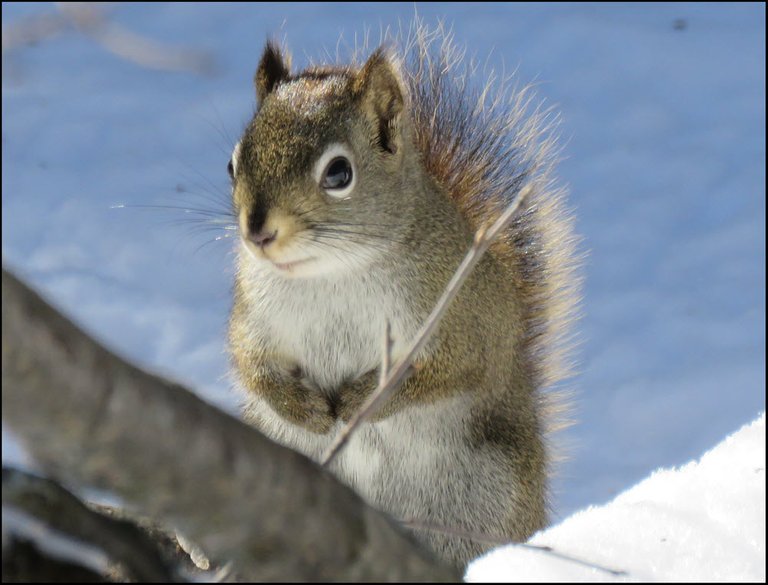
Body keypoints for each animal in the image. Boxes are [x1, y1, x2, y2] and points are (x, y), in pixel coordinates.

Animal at [225, 25, 580, 568]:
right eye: (233, 163)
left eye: (338, 173)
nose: (257, 232)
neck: (331, 273)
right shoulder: (254, 318)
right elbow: (250, 364)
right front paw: (305, 409)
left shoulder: (463, 324)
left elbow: (448, 372)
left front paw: (360, 399)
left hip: (485, 499)